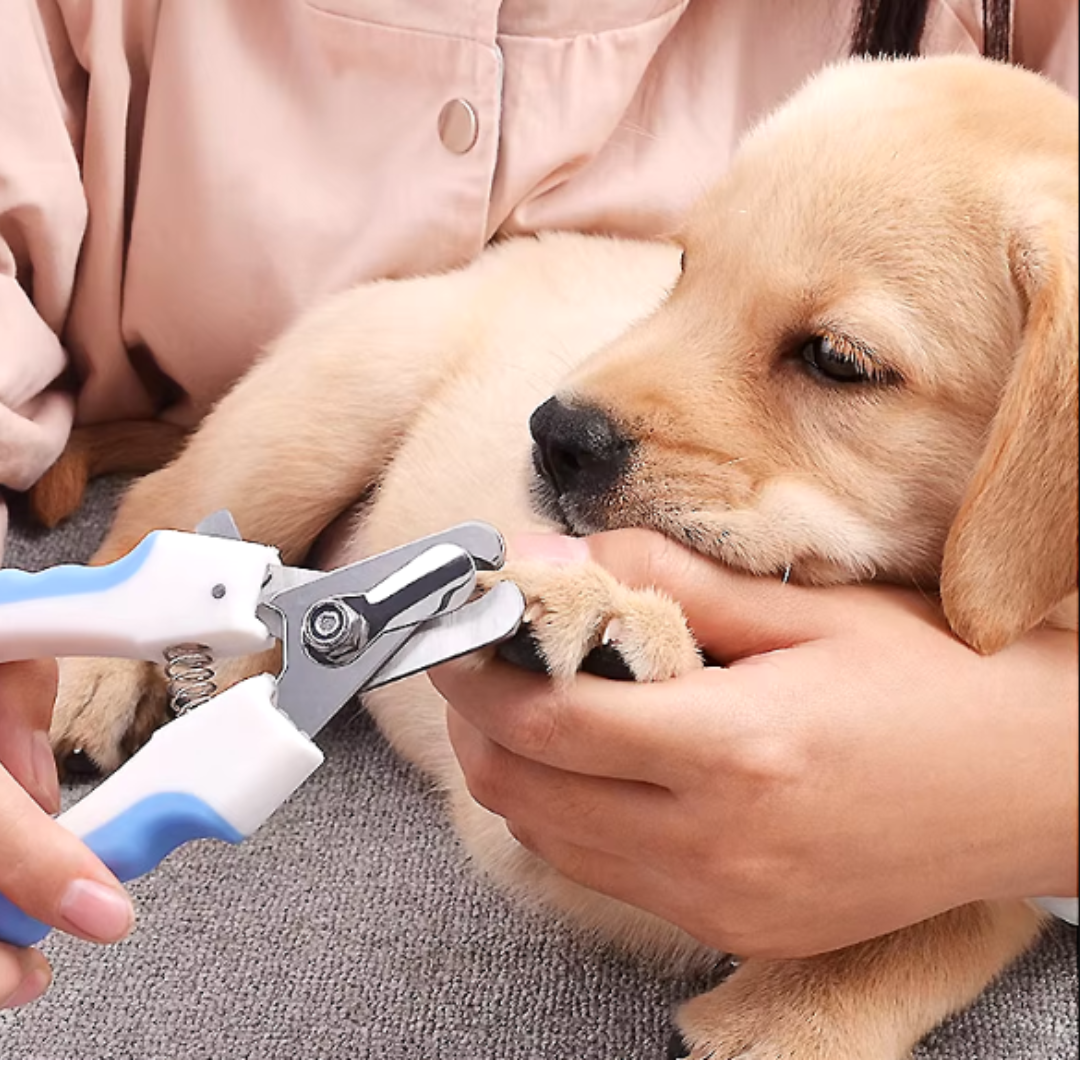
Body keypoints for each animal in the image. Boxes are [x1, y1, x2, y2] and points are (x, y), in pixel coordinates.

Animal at [38, 54, 1075, 1058]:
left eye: (837, 361)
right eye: (684, 270)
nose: (554, 434)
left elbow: (957, 914)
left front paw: (794, 1019)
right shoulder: (519, 819)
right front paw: (614, 620)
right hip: (319, 416)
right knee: (162, 516)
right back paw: (95, 679)